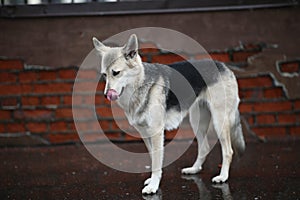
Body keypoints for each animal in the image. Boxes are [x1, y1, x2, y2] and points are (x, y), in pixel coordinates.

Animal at [92, 34, 245, 194]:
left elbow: (156, 162)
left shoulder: (156, 132)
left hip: (219, 121)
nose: (106, 95)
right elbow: (153, 158)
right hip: (197, 122)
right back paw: (194, 169)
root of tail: (224, 66)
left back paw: (223, 176)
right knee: (205, 148)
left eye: (116, 73)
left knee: (228, 151)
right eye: (104, 75)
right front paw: (152, 181)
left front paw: (153, 186)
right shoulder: (145, 134)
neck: (139, 84)